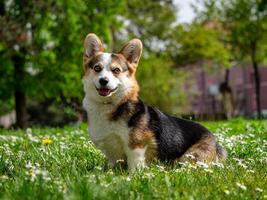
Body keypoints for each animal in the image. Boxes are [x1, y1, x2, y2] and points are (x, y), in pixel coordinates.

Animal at [82, 32, 227, 172]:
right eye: (97, 68)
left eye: (116, 70)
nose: (103, 81)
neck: (109, 105)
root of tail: (214, 140)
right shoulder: (111, 152)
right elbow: (113, 165)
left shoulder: (136, 146)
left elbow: (134, 165)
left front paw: (133, 176)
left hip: (188, 158)